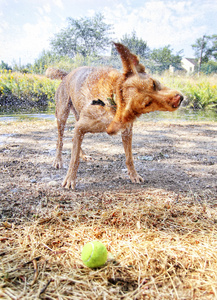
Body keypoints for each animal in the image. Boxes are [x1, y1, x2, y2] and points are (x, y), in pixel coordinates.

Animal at [46, 43, 183, 189]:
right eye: (147, 103)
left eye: (154, 83)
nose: (179, 98)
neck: (114, 96)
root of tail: (66, 75)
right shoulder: (80, 127)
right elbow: (74, 159)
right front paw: (70, 179)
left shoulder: (127, 131)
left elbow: (129, 158)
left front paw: (134, 175)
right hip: (62, 116)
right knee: (60, 141)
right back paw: (58, 161)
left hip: (77, 117)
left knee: (74, 141)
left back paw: (84, 155)